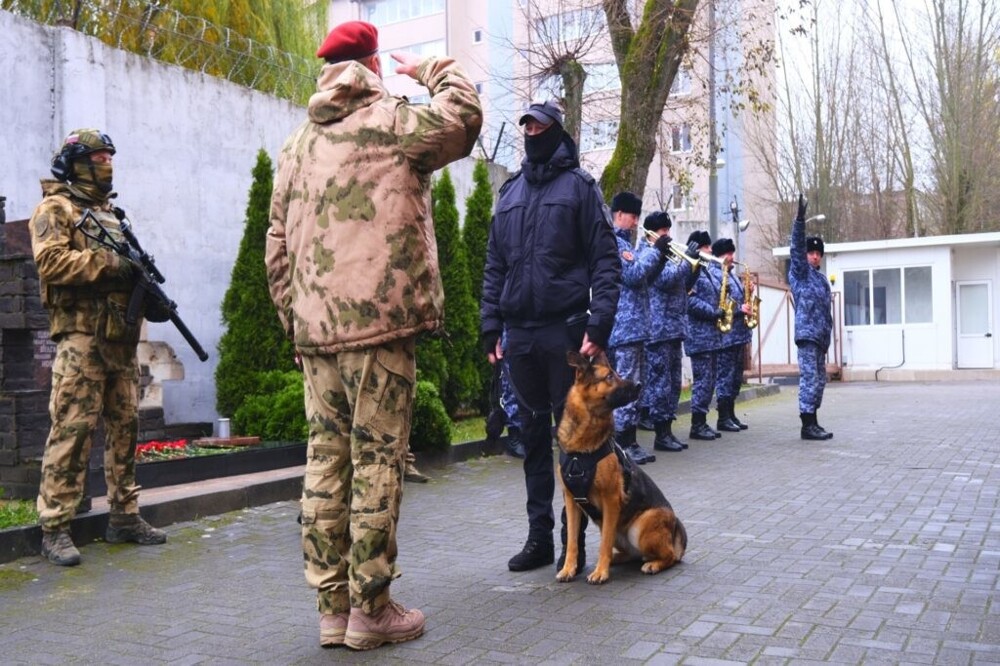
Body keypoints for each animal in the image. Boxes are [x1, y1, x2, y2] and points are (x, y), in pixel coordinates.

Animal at [556, 352, 688, 580]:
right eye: (609, 376)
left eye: (617, 373)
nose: (639, 384)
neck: (581, 449)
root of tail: (674, 526)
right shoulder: (572, 500)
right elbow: (573, 540)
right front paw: (568, 568)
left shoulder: (610, 500)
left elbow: (604, 544)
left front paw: (601, 572)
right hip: (620, 533)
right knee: (629, 553)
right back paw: (617, 558)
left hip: (641, 527)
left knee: (669, 555)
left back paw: (652, 564)